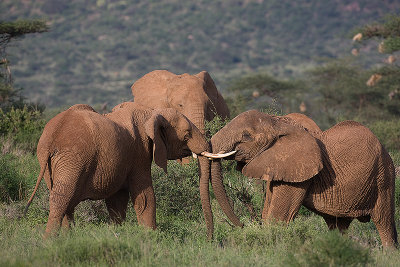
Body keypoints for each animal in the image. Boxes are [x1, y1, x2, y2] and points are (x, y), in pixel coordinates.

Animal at [23, 103, 228, 239]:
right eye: (186, 135)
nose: (210, 238)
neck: (151, 112)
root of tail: (51, 137)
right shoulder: (140, 152)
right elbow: (145, 196)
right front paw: (150, 237)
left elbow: (117, 200)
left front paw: (117, 233)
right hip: (72, 159)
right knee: (62, 198)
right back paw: (50, 242)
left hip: (53, 163)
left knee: (66, 201)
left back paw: (67, 238)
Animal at [206, 110, 396, 248]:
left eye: (246, 136)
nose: (242, 225)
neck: (279, 123)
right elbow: (268, 213)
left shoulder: (298, 173)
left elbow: (278, 218)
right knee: (338, 225)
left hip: (384, 177)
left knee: (384, 221)